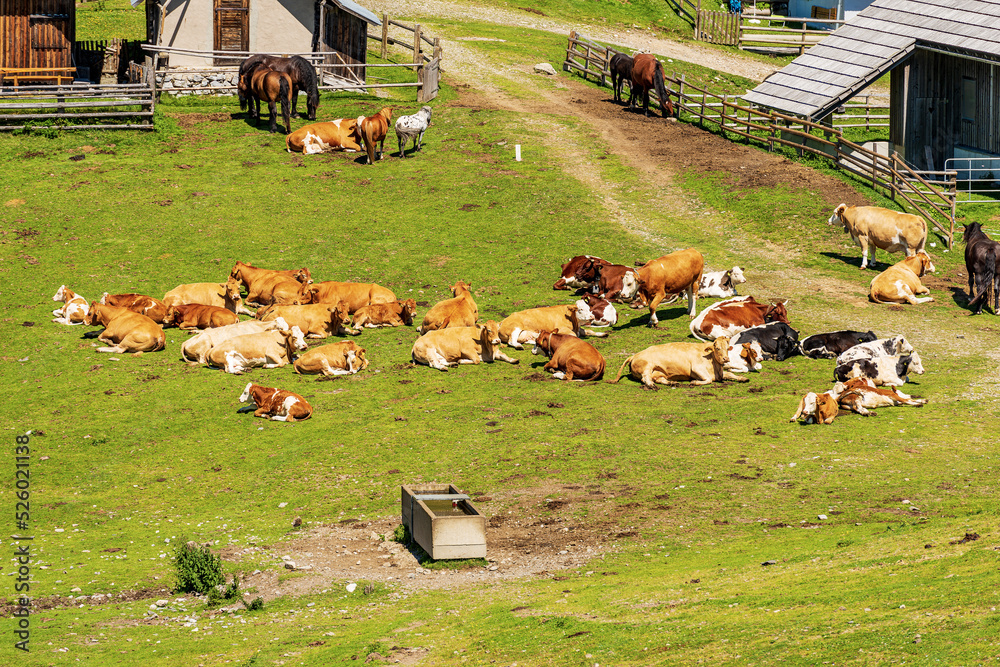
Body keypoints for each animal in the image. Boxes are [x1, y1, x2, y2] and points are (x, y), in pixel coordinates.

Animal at [612, 337, 750, 388]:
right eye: (717, 348)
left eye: (727, 348)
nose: (726, 359)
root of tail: (634, 355)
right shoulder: (696, 368)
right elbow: (708, 379)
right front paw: (695, 382)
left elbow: (731, 374)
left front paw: (743, 378)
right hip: (647, 366)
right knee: (645, 378)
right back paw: (651, 385)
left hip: (658, 372)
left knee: (659, 379)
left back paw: (672, 382)